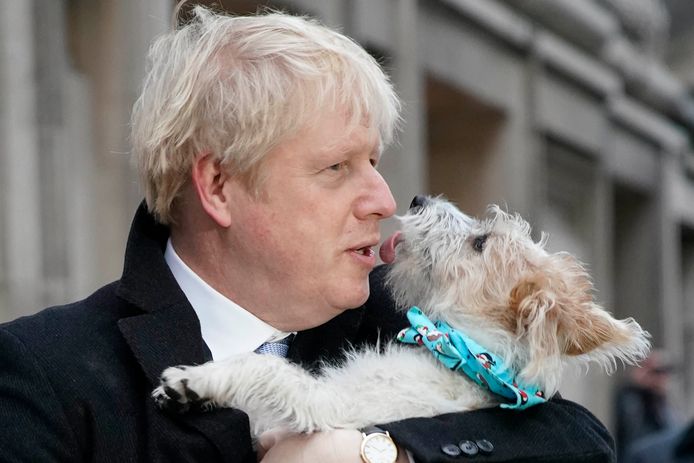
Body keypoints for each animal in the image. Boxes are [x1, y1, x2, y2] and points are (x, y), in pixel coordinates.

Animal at [154, 195, 652, 438]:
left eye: (480, 243)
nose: (417, 198)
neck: (464, 355)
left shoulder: (328, 408)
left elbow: (269, 369)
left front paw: (193, 381)